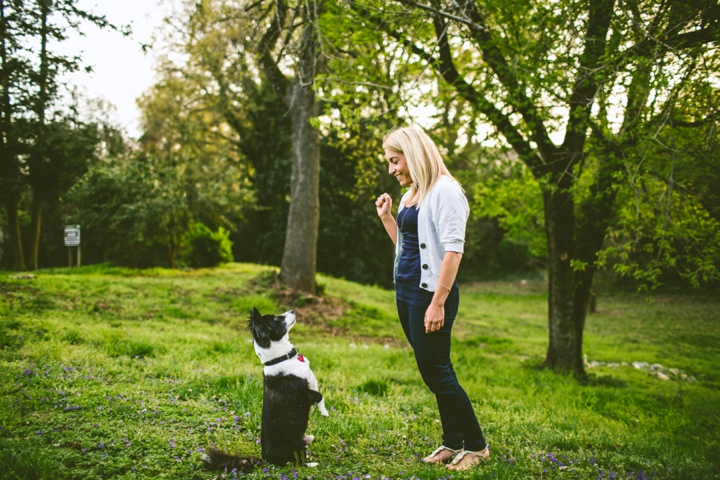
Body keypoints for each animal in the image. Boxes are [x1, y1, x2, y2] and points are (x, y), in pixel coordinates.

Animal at [202, 308, 326, 468]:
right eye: (276, 319)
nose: (292, 310)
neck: (280, 358)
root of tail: (266, 461)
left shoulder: (311, 382)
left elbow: (319, 395)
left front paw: (322, 411)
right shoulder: (301, 394)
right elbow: (319, 395)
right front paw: (324, 413)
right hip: (295, 446)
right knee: (296, 462)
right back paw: (312, 464)